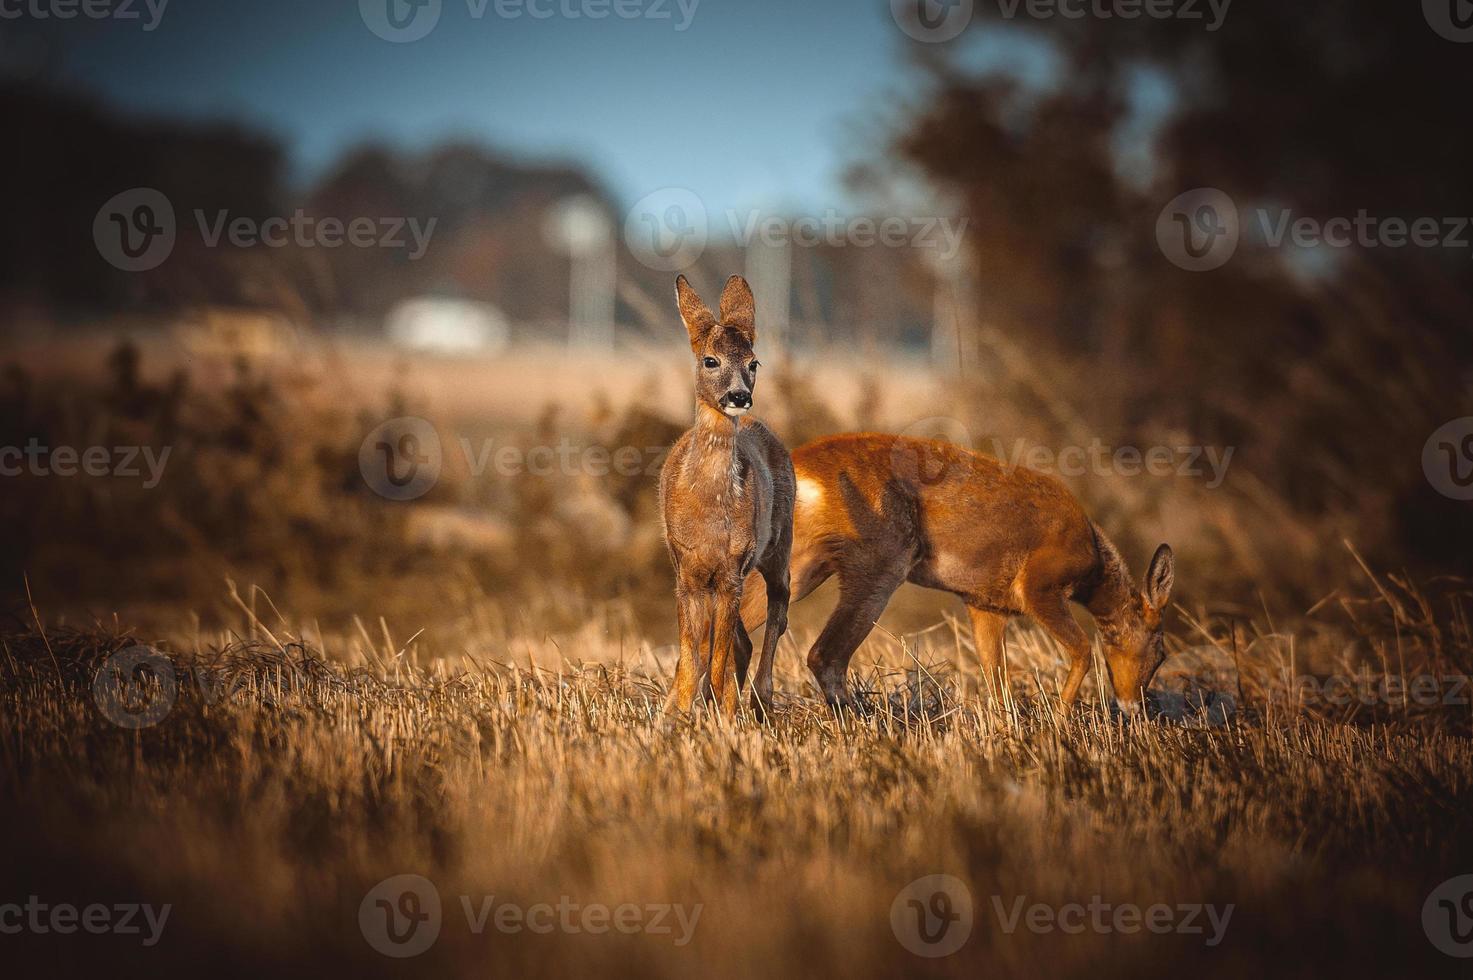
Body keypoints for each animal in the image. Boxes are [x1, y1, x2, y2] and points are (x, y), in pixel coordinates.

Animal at [659, 275, 795, 719]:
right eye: (710, 360)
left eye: (754, 363)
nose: (738, 397)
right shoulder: (687, 571)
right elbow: (692, 652)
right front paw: (677, 711)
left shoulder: (732, 568)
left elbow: (714, 655)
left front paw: (720, 713)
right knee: (739, 640)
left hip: (777, 545)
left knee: (778, 610)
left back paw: (759, 698)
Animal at [742, 433, 1178, 710]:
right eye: (1161, 651)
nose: (1133, 707)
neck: (1092, 556)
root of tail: (800, 467)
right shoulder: (1039, 586)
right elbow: (1083, 650)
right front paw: (1058, 724)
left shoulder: (986, 604)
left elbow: (997, 680)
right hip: (881, 560)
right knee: (824, 655)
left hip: (801, 562)